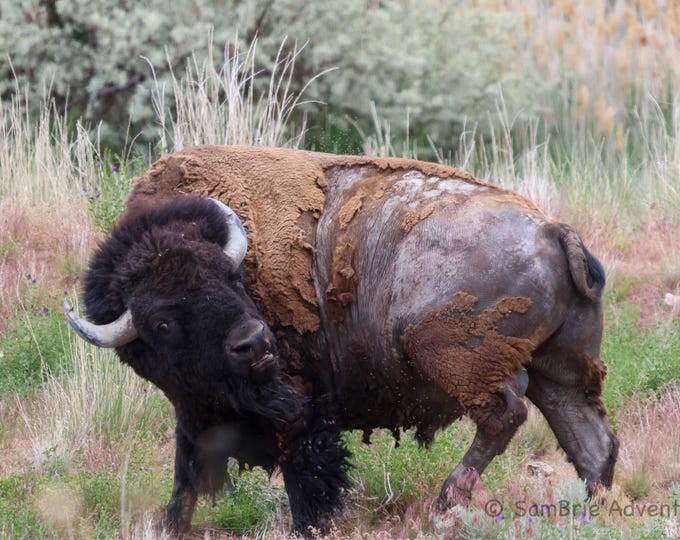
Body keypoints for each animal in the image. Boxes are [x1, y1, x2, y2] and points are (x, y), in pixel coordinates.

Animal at [65, 145, 618, 535]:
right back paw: (589, 513)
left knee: (505, 415)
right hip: (560, 372)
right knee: (590, 439)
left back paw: (444, 504)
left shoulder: (301, 411)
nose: (255, 342)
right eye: (162, 322)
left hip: (456, 358)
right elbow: (185, 476)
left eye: (233, 278)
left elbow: (308, 478)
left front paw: (312, 525)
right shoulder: (193, 410)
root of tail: (552, 230)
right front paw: (168, 525)